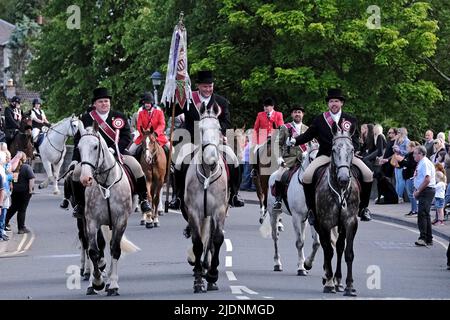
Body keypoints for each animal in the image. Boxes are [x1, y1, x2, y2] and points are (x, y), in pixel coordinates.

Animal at [78, 122, 139, 296]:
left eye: (95, 146)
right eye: (78, 147)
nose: (85, 178)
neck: (106, 184)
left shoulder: (120, 221)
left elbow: (115, 249)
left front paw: (113, 285)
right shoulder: (91, 222)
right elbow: (93, 251)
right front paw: (96, 283)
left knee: (111, 246)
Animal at [264, 142, 324, 276]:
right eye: (311, 158)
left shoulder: (312, 217)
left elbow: (316, 243)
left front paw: (307, 264)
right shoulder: (296, 217)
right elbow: (299, 243)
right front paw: (301, 268)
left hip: (303, 220)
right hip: (274, 214)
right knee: (275, 237)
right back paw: (277, 263)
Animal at [314, 126, 360, 296]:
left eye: (352, 149)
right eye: (333, 150)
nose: (344, 179)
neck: (340, 191)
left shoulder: (350, 222)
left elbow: (348, 253)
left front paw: (349, 286)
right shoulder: (325, 223)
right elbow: (328, 250)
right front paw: (328, 283)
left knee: (340, 248)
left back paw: (338, 280)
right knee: (326, 246)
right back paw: (329, 278)